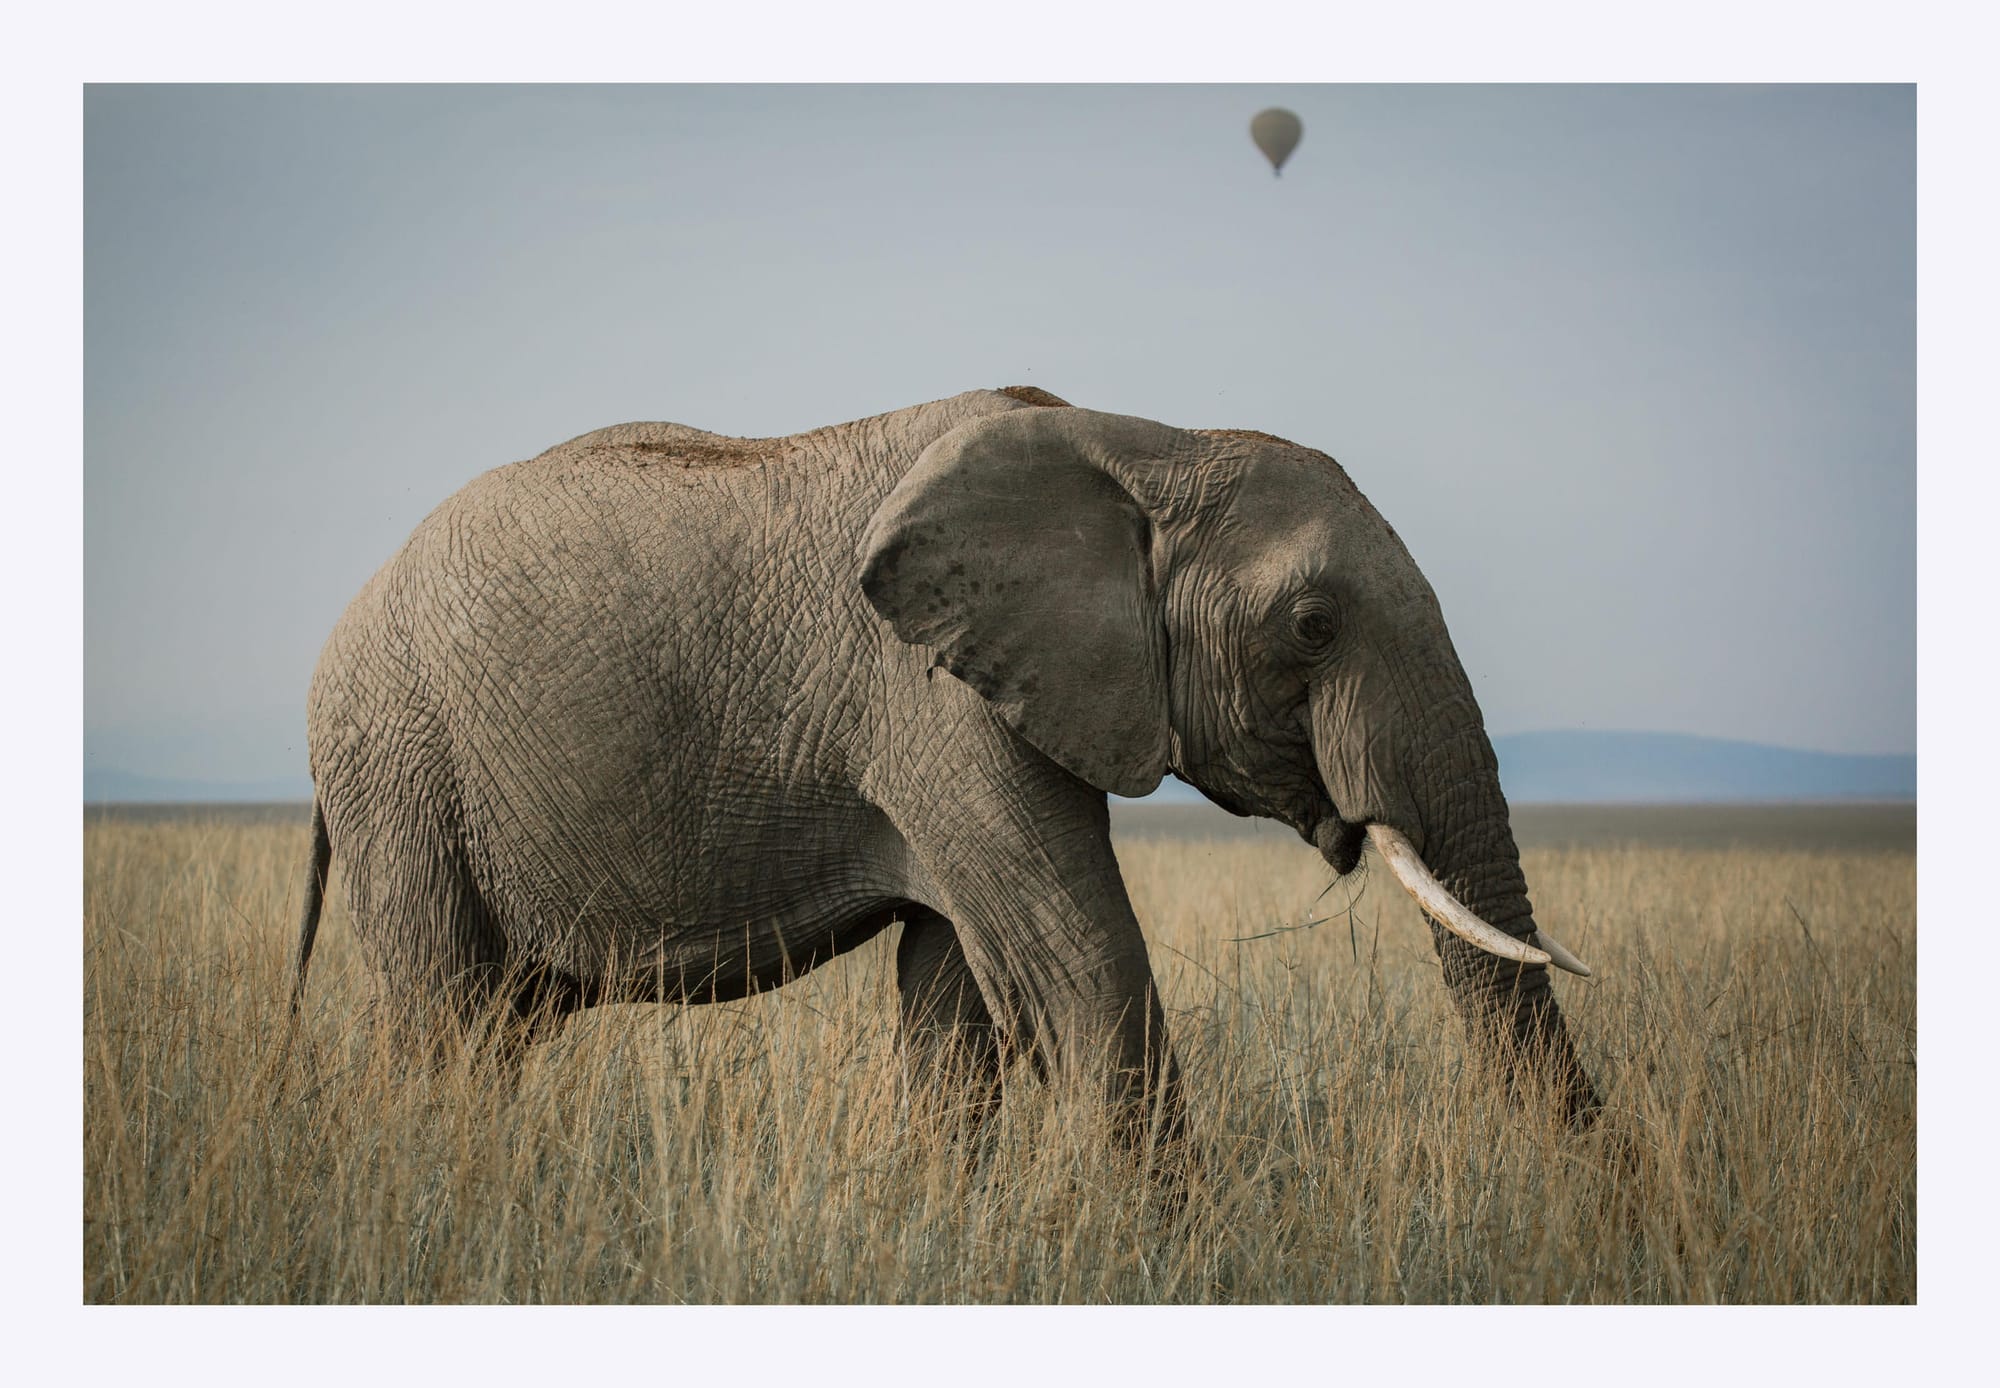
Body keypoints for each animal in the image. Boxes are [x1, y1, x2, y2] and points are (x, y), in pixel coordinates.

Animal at [291, 385, 1599, 1145]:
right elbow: (1077, 966)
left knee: (492, 1027)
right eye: (1314, 625)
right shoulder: (929, 702)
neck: (1144, 445)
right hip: (395, 766)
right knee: (443, 1020)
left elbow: (957, 997)